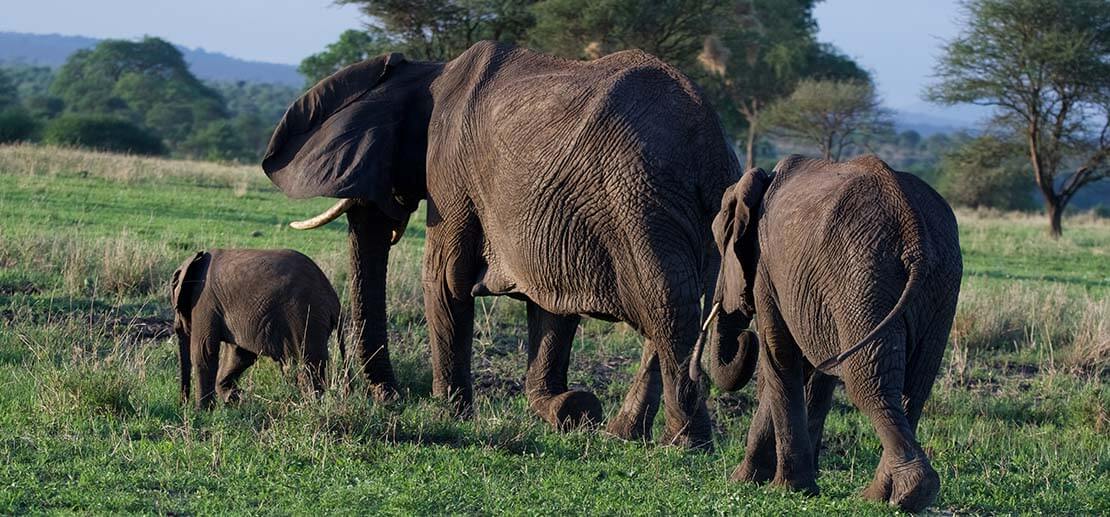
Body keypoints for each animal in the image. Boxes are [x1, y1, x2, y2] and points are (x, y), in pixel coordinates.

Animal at [168, 249, 339, 408]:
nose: (182, 404)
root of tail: (333, 299)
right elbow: (239, 355)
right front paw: (234, 398)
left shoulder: (204, 301)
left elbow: (204, 352)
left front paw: (202, 412)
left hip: (307, 318)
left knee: (309, 364)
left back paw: (311, 406)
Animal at [261, 40, 737, 445]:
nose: (390, 398)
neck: (430, 70)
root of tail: (710, 149)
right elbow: (551, 305)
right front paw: (563, 408)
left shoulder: (450, 173)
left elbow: (444, 279)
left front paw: (451, 414)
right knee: (680, 311)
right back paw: (623, 434)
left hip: (639, 203)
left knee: (668, 310)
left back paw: (684, 445)